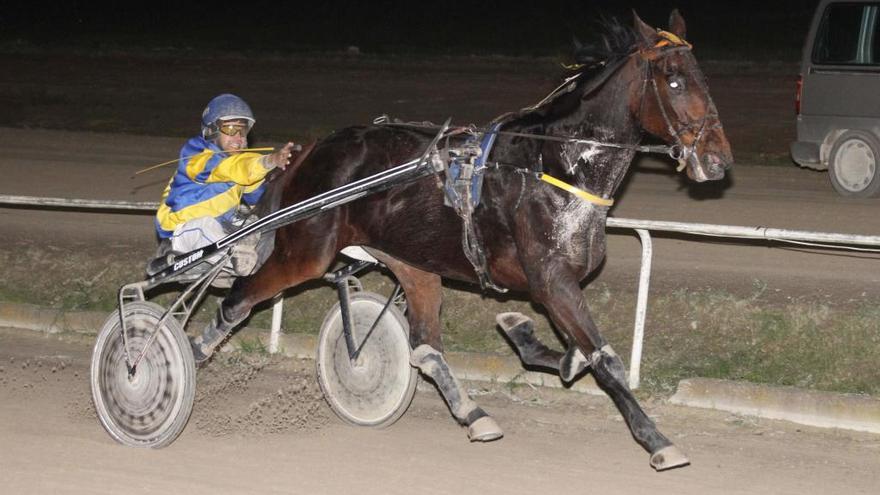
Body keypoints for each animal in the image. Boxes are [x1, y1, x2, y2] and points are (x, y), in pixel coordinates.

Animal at [194, 9, 736, 470]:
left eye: (703, 79)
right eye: (674, 80)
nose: (718, 161)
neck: (556, 163)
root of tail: (312, 149)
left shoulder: (558, 282)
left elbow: (574, 351)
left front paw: (526, 333)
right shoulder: (552, 279)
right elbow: (605, 358)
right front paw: (657, 439)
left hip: (413, 264)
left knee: (424, 348)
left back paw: (475, 414)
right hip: (307, 250)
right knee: (238, 300)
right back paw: (189, 357)